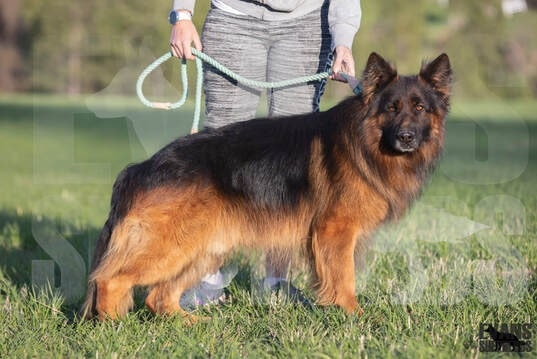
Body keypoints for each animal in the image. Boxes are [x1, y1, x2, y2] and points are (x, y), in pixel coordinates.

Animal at [80, 52, 452, 322]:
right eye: (392, 108)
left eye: (420, 108)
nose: (406, 137)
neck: (366, 141)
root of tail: (141, 167)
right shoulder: (335, 231)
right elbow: (344, 277)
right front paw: (352, 313)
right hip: (171, 245)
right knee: (110, 279)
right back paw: (116, 326)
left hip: (203, 248)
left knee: (158, 296)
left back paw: (187, 322)